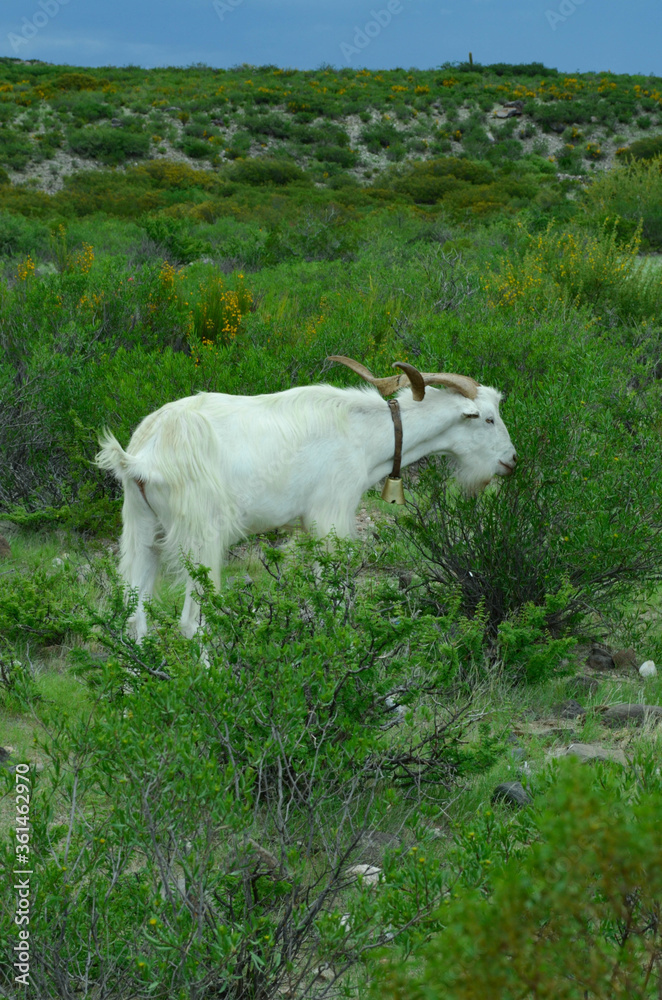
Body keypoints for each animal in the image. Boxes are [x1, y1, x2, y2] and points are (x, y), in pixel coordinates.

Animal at [96, 357, 516, 640]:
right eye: (488, 419)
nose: (511, 460)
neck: (363, 433)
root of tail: (144, 456)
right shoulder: (331, 516)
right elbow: (334, 595)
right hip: (202, 536)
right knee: (193, 621)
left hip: (140, 530)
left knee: (133, 616)